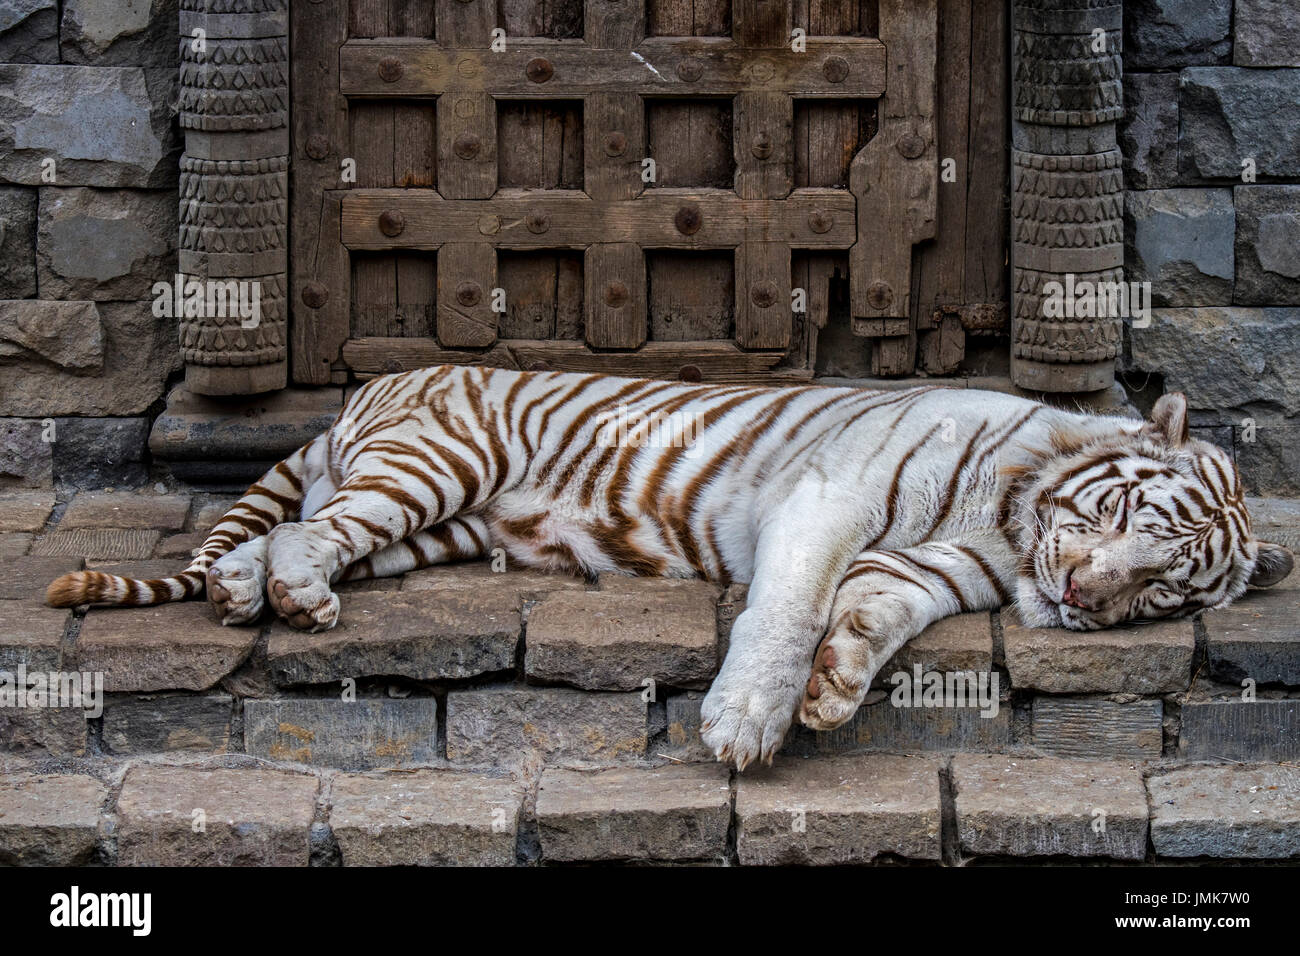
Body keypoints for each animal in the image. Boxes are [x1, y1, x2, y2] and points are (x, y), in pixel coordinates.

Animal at [46, 365, 1294, 769]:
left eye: (1165, 587)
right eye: (1125, 511)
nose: (1081, 598)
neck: (1007, 517)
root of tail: (368, 387)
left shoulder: (939, 563)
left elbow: (877, 606)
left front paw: (836, 685)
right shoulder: (827, 499)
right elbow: (788, 607)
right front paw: (747, 724)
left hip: (432, 522)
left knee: (299, 528)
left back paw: (247, 588)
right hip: (438, 464)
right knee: (312, 531)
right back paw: (290, 595)